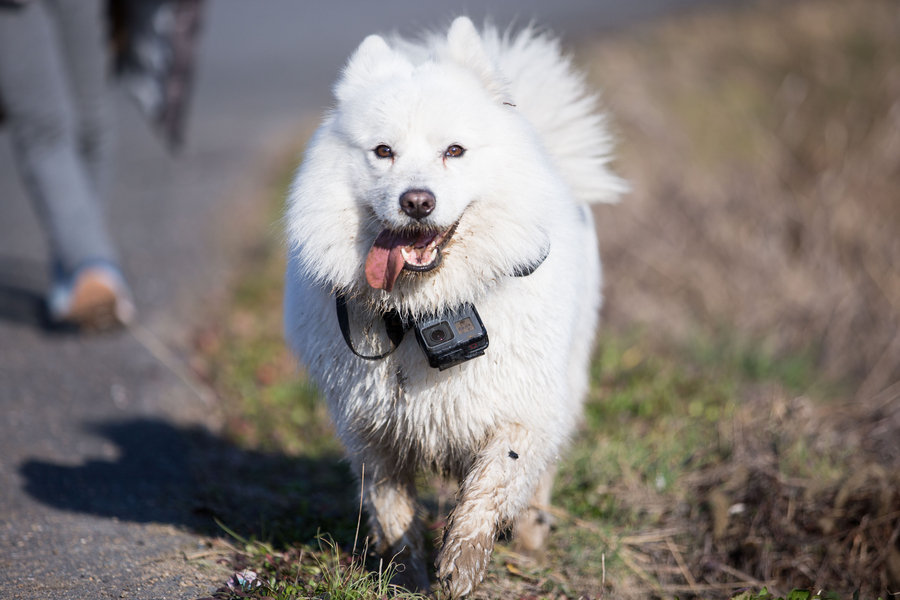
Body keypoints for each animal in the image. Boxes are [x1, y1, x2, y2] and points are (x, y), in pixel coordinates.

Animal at [284, 16, 624, 596]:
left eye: (455, 151)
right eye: (383, 152)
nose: (417, 201)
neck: (424, 311)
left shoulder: (520, 408)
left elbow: (493, 479)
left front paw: (462, 560)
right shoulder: (372, 430)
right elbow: (391, 506)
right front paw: (406, 570)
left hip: (568, 376)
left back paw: (531, 534)